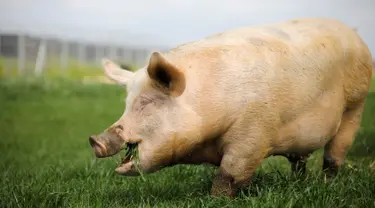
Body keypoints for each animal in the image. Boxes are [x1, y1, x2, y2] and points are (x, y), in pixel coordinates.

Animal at [88, 17, 374, 198]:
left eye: (147, 102)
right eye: (127, 103)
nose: (95, 140)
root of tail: (354, 34)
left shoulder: (255, 132)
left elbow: (229, 173)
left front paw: (217, 199)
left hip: (355, 105)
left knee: (334, 155)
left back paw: (326, 183)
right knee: (300, 159)